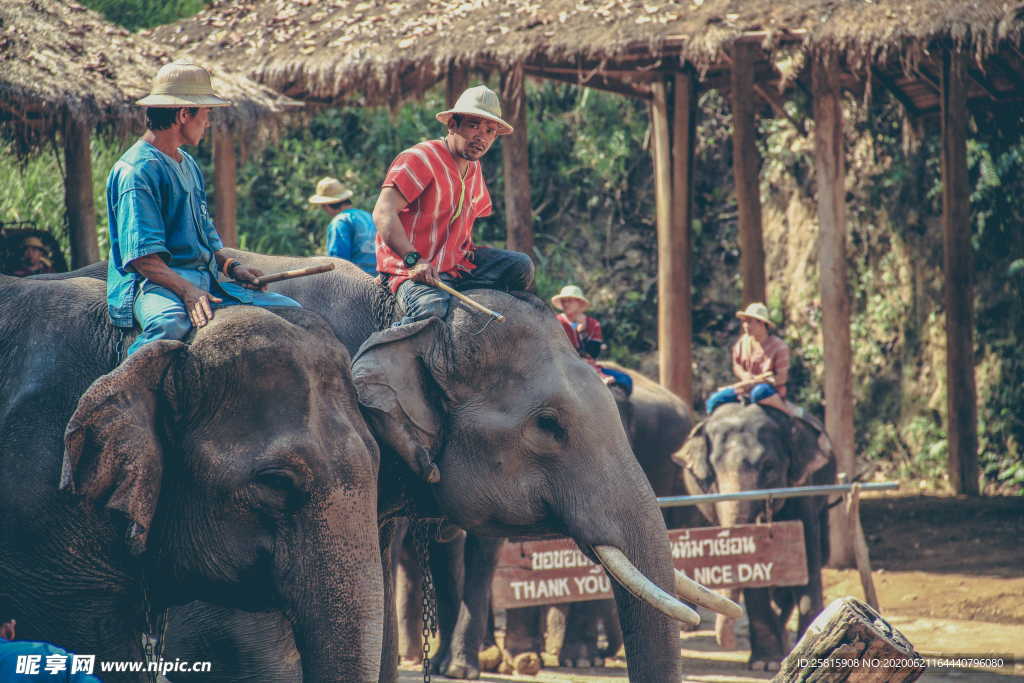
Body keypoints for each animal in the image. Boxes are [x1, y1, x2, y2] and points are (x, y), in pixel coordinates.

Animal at [675, 403, 835, 671]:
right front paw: (765, 664)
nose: (727, 643)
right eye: (713, 471)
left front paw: (803, 651)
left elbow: (808, 554)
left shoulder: (803, 486)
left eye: (769, 466)